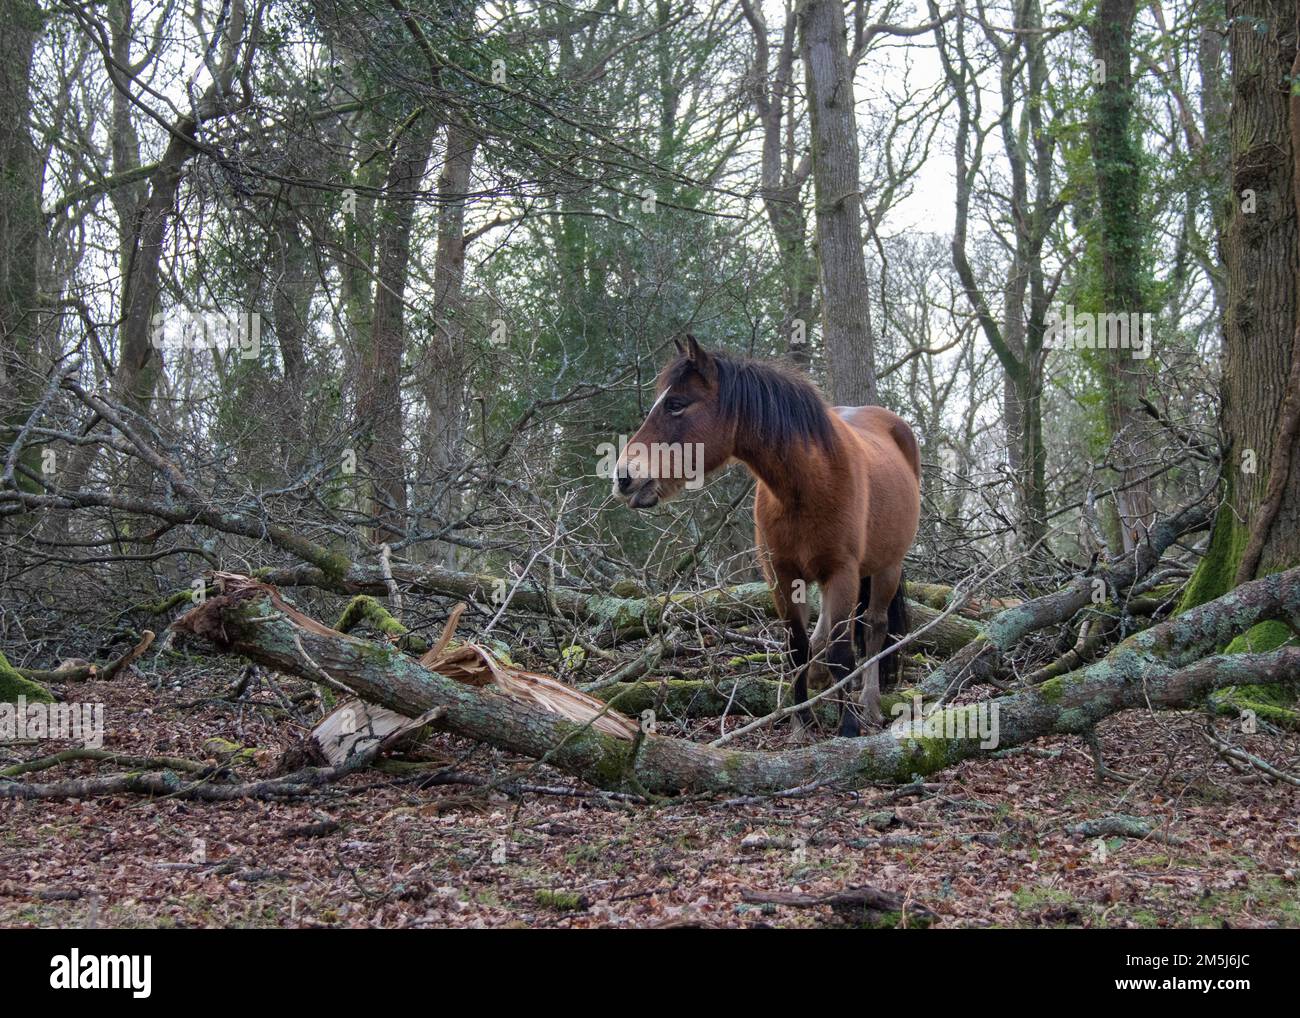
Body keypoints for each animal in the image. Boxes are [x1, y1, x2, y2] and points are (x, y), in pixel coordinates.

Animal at [613, 338, 920, 738]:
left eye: (676, 404)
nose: (623, 476)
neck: (809, 483)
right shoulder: (782, 575)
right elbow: (797, 648)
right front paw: (801, 722)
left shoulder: (842, 573)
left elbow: (842, 652)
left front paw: (848, 727)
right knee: (823, 634)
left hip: (887, 567)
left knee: (874, 627)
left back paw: (868, 704)